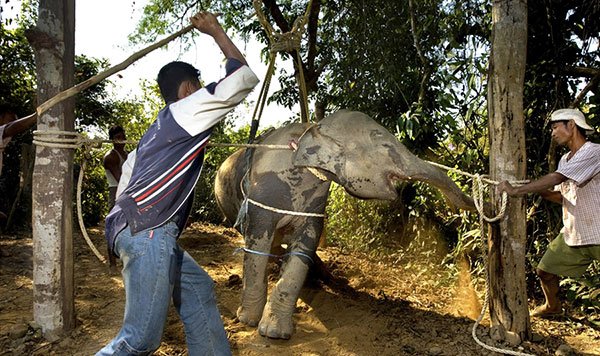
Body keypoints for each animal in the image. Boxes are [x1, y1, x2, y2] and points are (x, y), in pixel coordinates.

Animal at [216, 110, 474, 338]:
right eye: (384, 144)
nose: (464, 207)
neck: (313, 127)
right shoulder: (262, 194)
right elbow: (256, 244)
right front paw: (248, 321)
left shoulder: (316, 203)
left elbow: (304, 247)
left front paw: (275, 332)